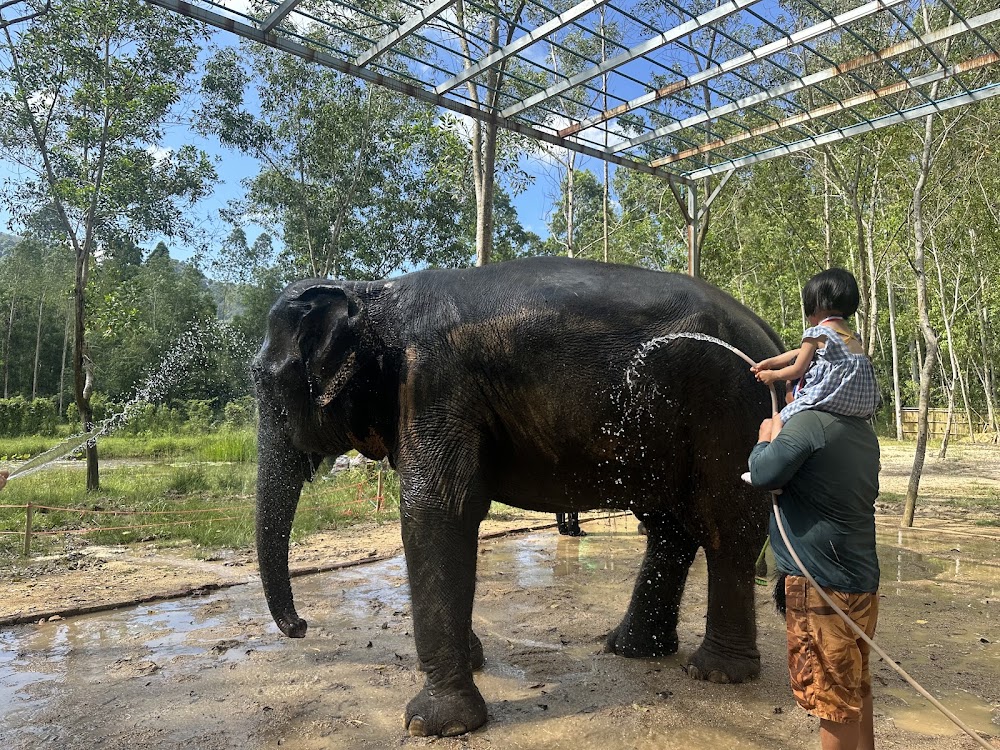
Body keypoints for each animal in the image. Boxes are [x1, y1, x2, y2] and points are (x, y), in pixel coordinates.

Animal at [252, 256, 783, 737]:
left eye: (268, 387)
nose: (300, 627)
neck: (373, 292)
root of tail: (770, 334)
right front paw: (473, 661)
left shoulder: (434, 383)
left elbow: (436, 510)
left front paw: (434, 726)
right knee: (669, 527)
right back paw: (633, 650)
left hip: (730, 407)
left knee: (725, 526)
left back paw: (715, 673)